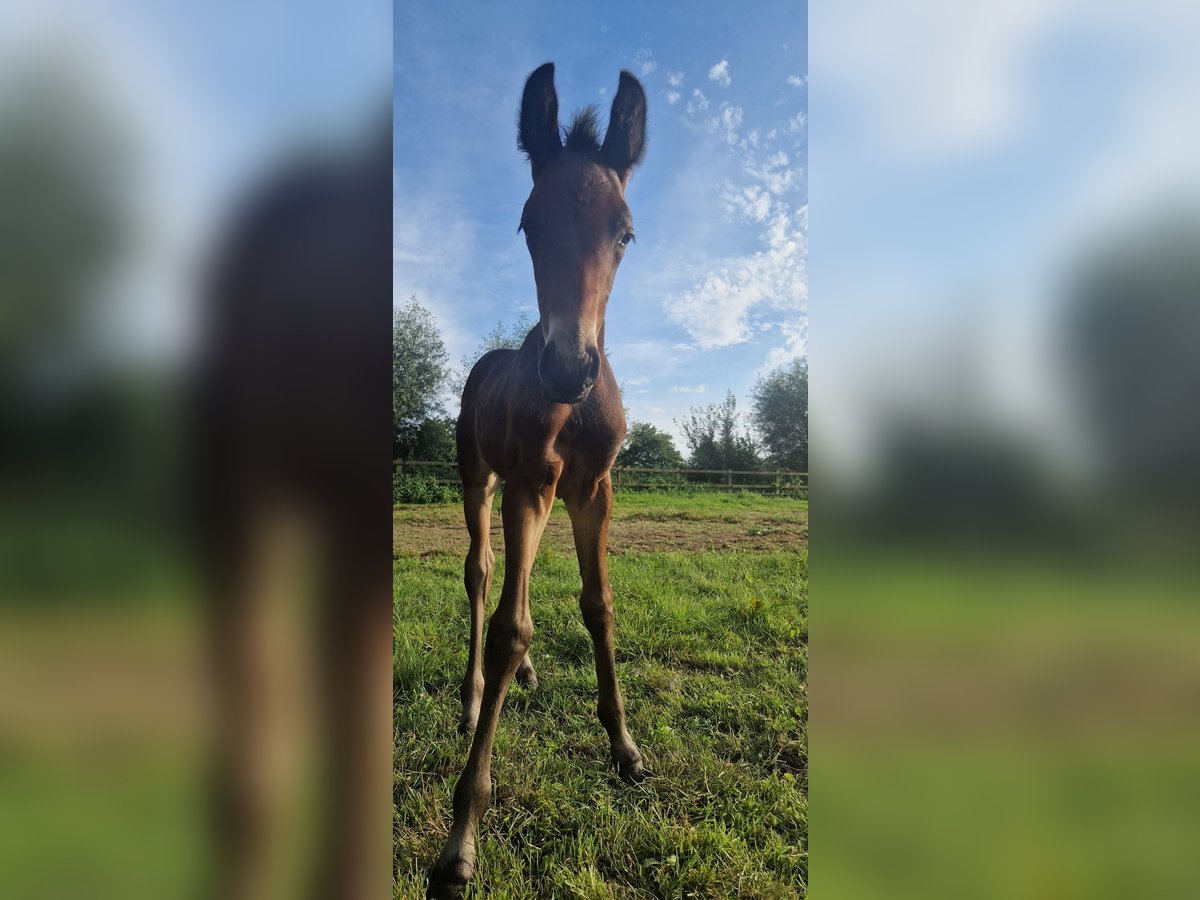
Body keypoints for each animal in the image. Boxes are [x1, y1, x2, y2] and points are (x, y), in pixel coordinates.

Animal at [424, 61, 648, 897]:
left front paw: (625, 747)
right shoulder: (525, 483)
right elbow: (507, 624)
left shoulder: (592, 489)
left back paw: (520, 678)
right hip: (479, 478)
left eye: (624, 231)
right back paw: (472, 698)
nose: (568, 368)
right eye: (528, 223)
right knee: (483, 573)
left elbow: (598, 605)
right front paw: (462, 837)